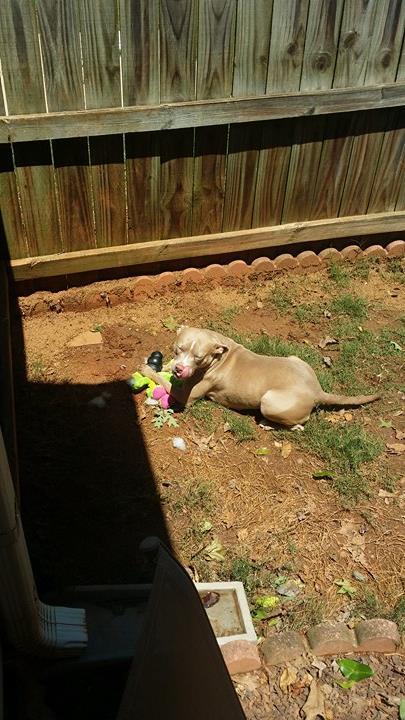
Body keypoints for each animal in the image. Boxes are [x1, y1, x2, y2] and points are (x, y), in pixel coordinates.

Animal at [140, 328, 378, 428]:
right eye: (178, 348)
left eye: (198, 357)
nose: (180, 369)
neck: (219, 353)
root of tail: (317, 390)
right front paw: (164, 365)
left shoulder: (185, 396)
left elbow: (163, 382)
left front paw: (147, 370)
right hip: (297, 360)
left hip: (270, 401)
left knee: (299, 423)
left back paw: (268, 423)